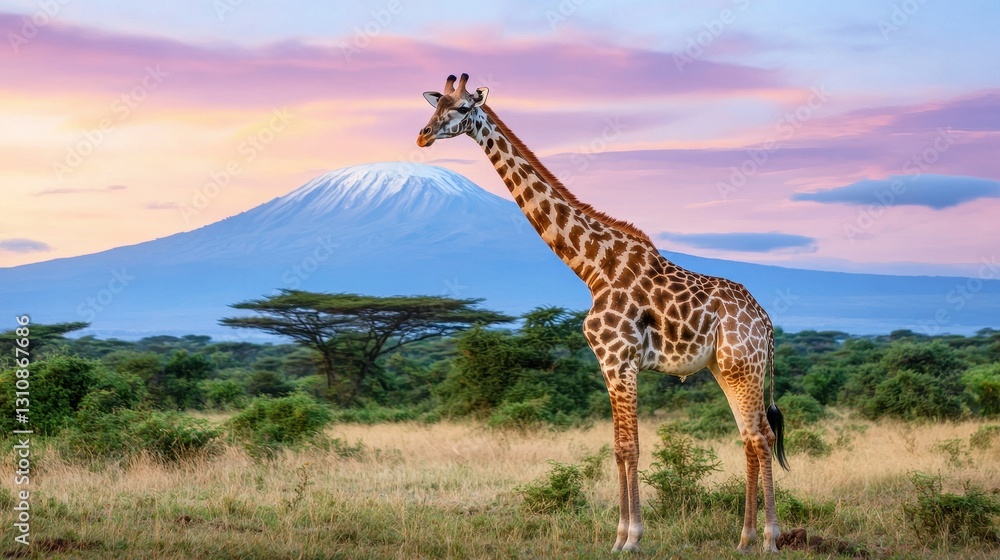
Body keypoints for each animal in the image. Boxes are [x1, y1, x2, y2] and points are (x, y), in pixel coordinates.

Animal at [417, 73, 789, 553]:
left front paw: (631, 539)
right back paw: (743, 539)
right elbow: (618, 447)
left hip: (745, 366)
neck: (593, 267)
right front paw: (620, 536)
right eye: (435, 104)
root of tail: (766, 322)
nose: (423, 135)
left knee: (761, 437)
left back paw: (770, 539)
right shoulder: (608, 363)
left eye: (462, 109)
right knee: (749, 437)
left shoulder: (619, 359)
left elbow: (629, 447)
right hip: (726, 369)